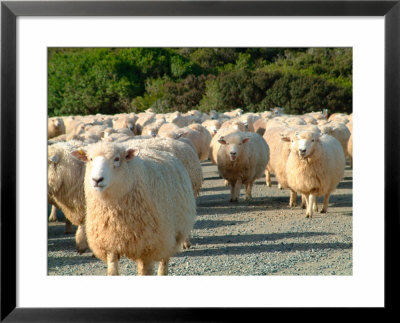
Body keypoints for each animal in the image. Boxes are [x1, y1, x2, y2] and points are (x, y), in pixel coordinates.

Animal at [72, 142, 198, 276]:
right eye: (90, 159)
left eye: (117, 159)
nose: (97, 180)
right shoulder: (110, 242)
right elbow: (112, 271)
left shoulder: (148, 246)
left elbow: (145, 273)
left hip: (171, 235)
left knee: (165, 260)